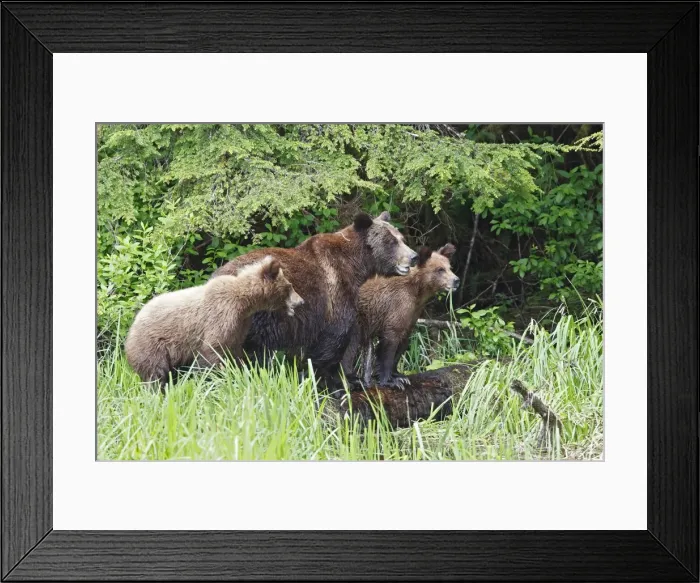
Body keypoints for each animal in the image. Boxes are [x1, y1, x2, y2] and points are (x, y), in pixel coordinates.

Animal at [124, 256, 304, 387]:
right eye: (289, 286)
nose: (301, 301)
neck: (245, 303)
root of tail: (132, 326)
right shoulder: (222, 316)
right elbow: (213, 349)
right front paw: (218, 377)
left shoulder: (240, 325)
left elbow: (234, 349)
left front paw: (241, 369)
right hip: (152, 345)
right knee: (155, 372)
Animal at [211, 211, 418, 388]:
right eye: (390, 241)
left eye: (401, 238)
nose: (413, 256)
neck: (356, 266)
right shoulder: (335, 292)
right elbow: (335, 337)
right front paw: (334, 380)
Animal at [341, 243, 459, 388]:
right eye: (440, 269)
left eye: (449, 267)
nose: (456, 280)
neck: (418, 291)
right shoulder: (397, 306)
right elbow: (389, 345)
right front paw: (390, 381)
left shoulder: (413, 313)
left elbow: (403, 341)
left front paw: (399, 376)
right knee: (349, 347)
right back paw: (351, 379)